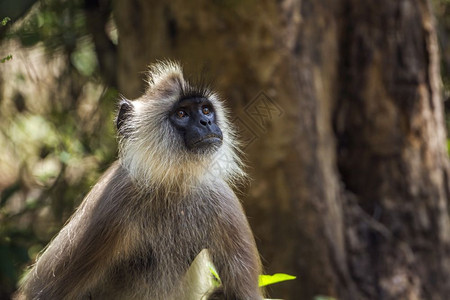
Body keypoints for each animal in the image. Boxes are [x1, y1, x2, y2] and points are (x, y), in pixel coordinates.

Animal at [18, 61, 264, 300]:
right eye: (182, 114)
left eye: (205, 110)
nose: (206, 122)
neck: (172, 186)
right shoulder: (113, 202)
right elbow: (44, 291)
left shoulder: (223, 201)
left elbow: (244, 294)